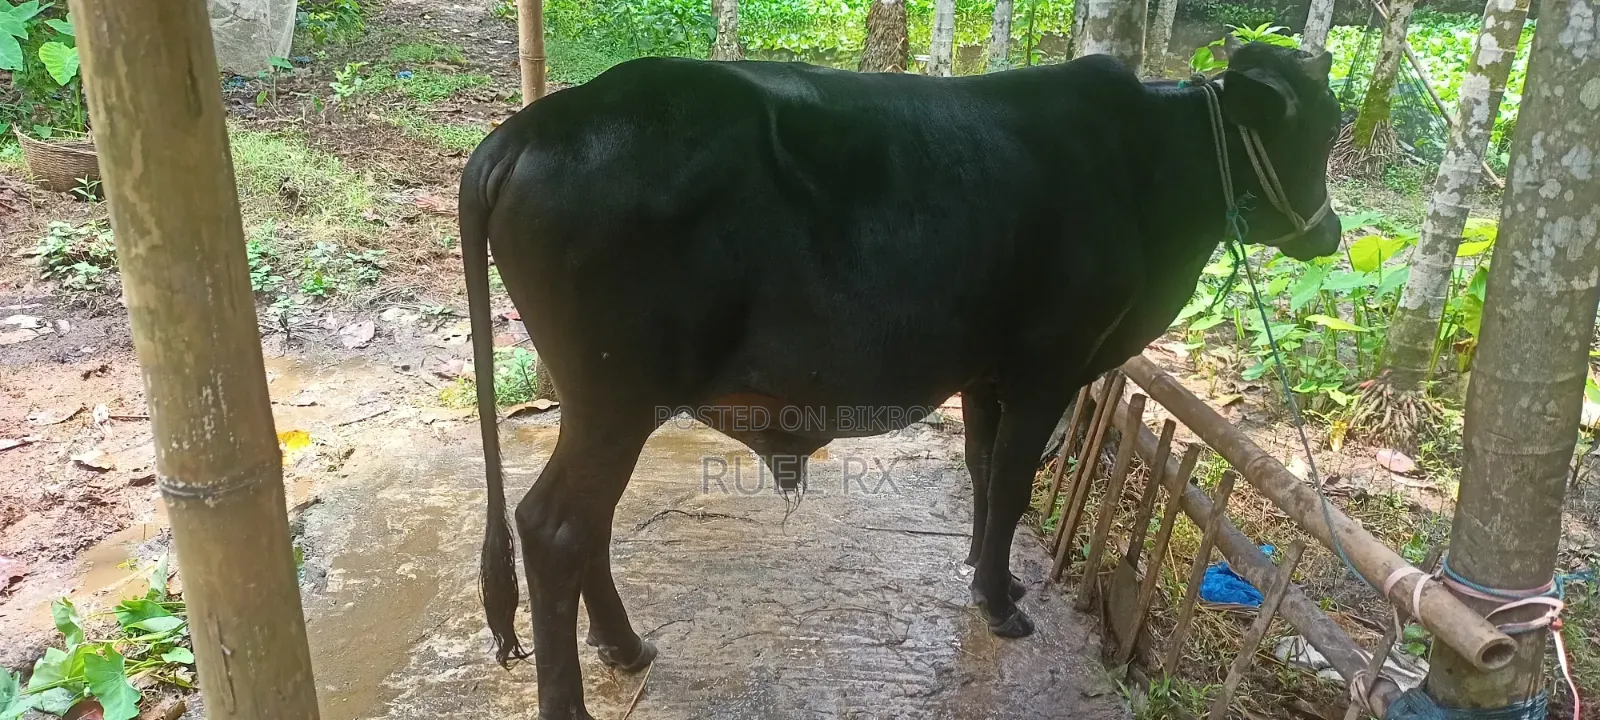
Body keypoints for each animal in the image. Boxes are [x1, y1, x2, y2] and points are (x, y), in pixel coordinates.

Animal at [459, 39, 1341, 719]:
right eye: (1318, 131)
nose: (1330, 233)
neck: (1147, 171)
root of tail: (535, 125)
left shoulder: (987, 374)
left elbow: (985, 475)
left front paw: (990, 576)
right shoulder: (1048, 365)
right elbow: (1013, 484)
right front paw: (1000, 606)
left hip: (604, 405)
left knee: (589, 526)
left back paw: (627, 646)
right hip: (616, 400)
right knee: (554, 528)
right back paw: (579, 690)